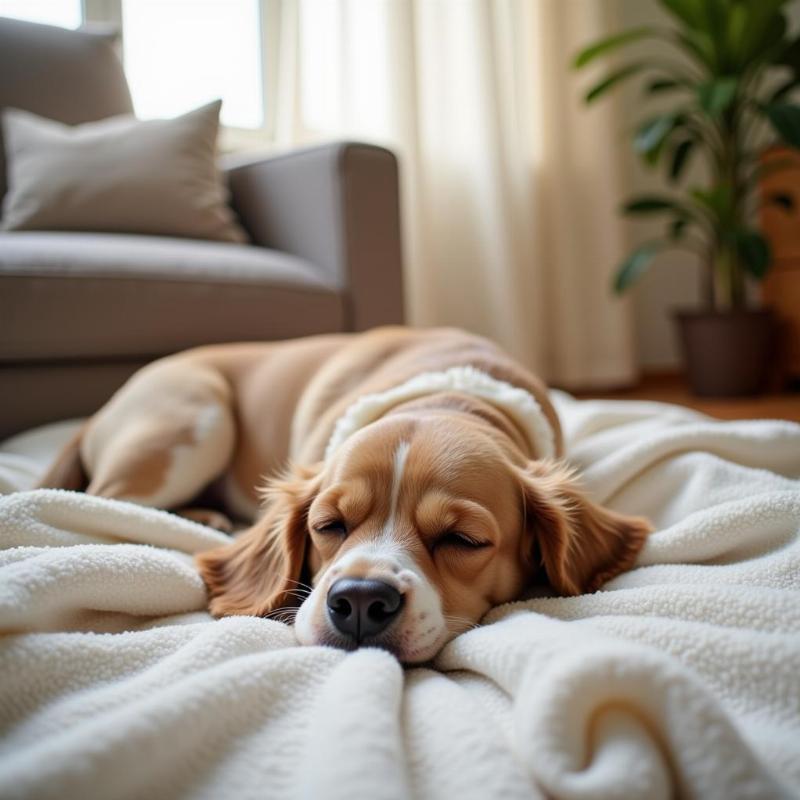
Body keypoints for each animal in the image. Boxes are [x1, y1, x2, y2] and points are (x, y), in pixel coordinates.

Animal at [39, 324, 648, 664]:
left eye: (463, 539)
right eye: (328, 525)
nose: (358, 601)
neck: (444, 398)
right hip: (195, 420)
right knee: (105, 500)